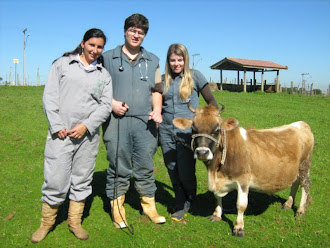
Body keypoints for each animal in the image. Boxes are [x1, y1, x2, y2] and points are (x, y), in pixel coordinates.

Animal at [173, 103, 314, 237]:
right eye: (193, 128)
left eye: (217, 129)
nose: (202, 152)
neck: (215, 172)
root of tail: (301, 124)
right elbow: (217, 197)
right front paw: (217, 215)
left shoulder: (243, 180)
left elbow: (241, 205)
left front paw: (239, 228)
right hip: (296, 169)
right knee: (295, 182)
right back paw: (288, 204)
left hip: (305, 165)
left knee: (305, 185)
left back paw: (300, 211)